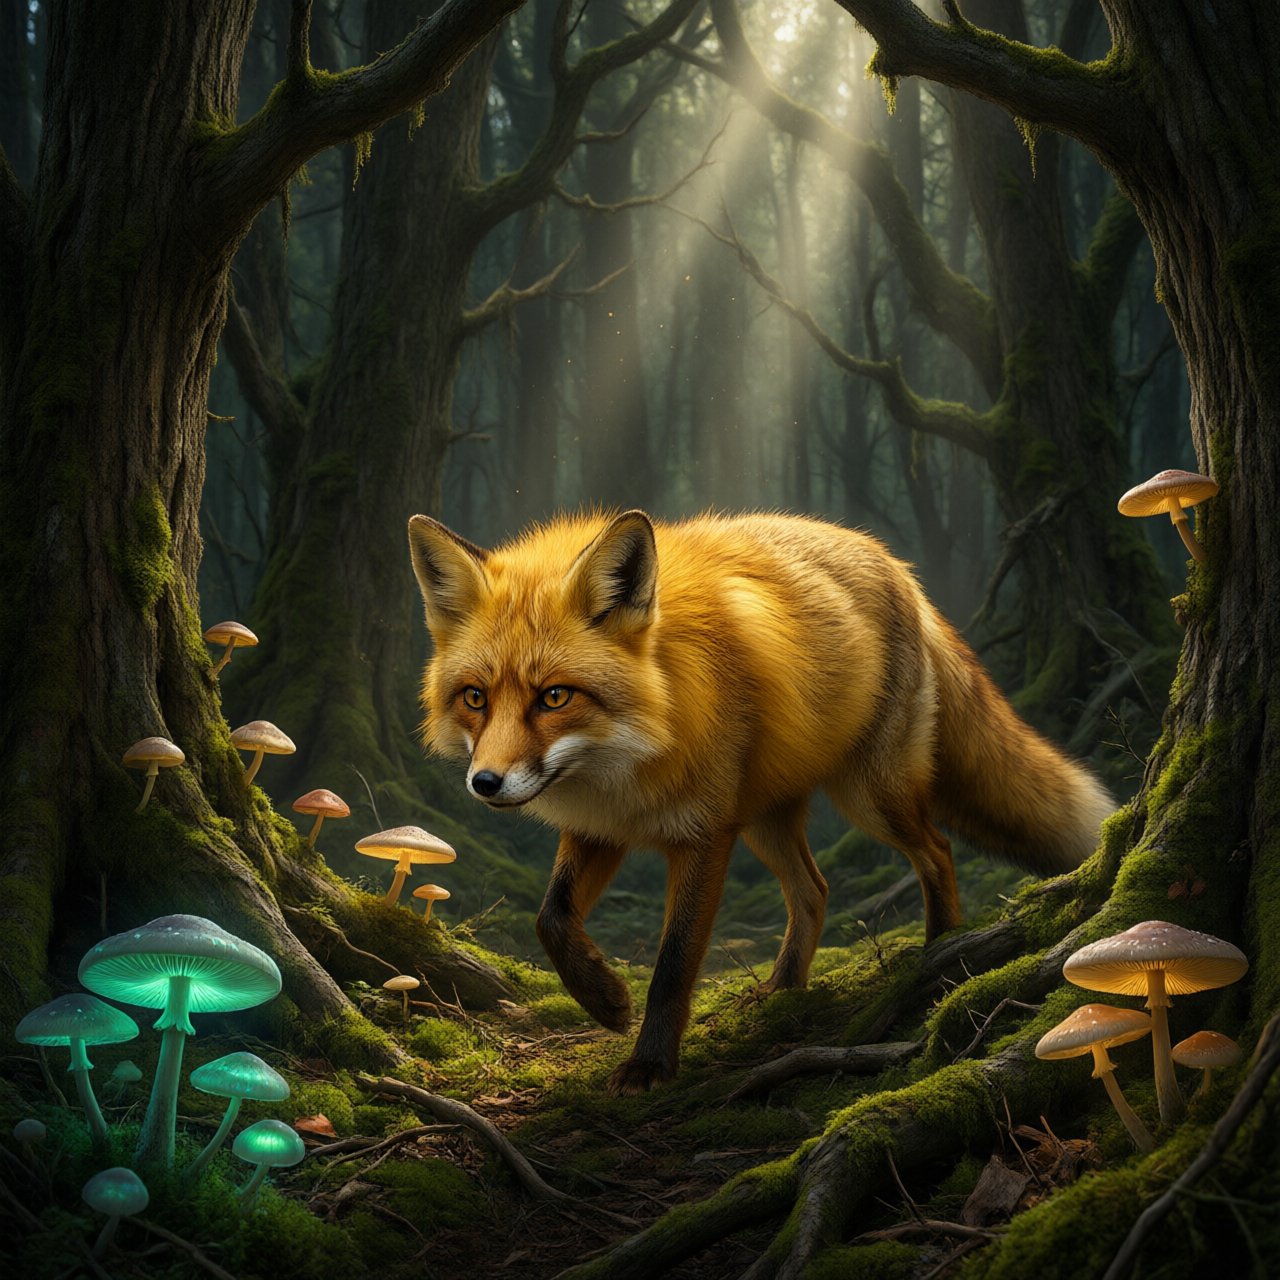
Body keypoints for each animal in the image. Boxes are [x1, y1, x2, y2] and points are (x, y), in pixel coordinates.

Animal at [407, 509, 1113, 1094]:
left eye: (554, 697)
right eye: (475, 697)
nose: (486, 783)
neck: (634, 751)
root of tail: (893, 563)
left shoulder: (704, 835)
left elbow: (673, 964)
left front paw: (650, 1063)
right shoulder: (601, 827)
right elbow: (551, 919)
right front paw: (604, 999)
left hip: (869, 796)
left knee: (936, 851)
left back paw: (938, 952)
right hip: (768, 822)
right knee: (815, 890)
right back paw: (784, 987)